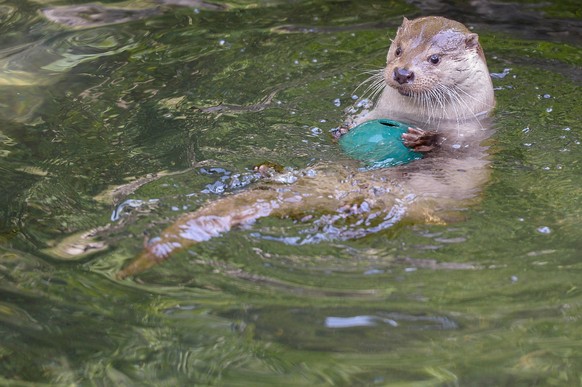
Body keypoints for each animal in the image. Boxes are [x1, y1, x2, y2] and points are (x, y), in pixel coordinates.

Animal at [117, 17, 498, 278]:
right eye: (399, 49)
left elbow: (452, 150)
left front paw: (424, 140)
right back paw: (268, 169)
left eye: (434, 59)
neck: (409, 115)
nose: (403, 72)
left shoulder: (471, 133)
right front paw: (341, 129)